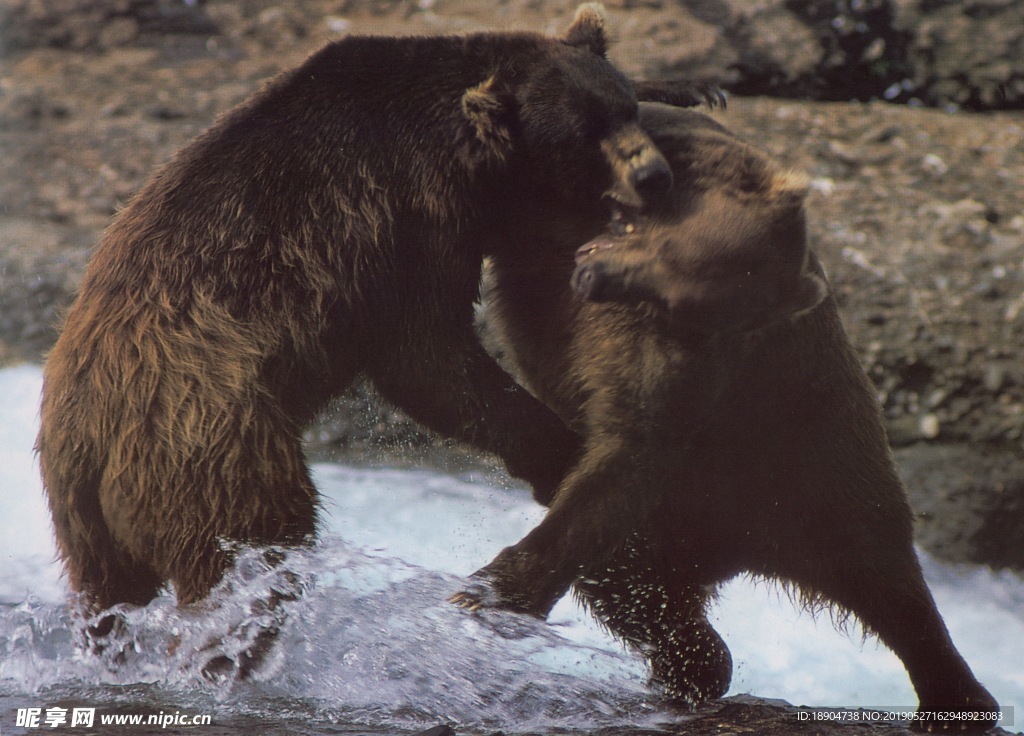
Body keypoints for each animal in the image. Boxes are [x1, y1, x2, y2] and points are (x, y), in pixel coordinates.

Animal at [458, 103, 999, 732]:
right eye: (642, 233)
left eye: (677, 291)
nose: (588, 272)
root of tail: (730, 551)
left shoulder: (689, 355)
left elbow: (630, 445)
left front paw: (490, 588)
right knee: (630, 576)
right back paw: (694, 660)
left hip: (807, 471)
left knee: (889, 585)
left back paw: (954, 697)